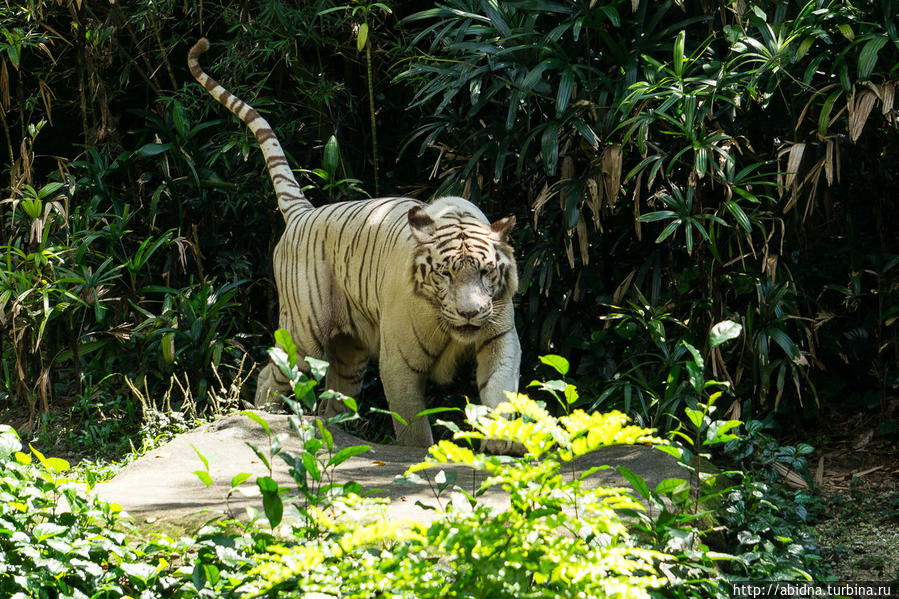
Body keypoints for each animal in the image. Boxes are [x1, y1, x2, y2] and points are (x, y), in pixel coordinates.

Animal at [188, 37, 520, 446]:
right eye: (445, 274)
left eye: (487, 272)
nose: (471, 313)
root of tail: (303, 212)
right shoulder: (399, 363)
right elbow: (413, 426)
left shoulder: (500, 335)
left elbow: (499, 386)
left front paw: (502, 439)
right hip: (302, 335)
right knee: (272, 375)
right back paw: (264, 419)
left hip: (350, 352)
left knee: (334, 397)